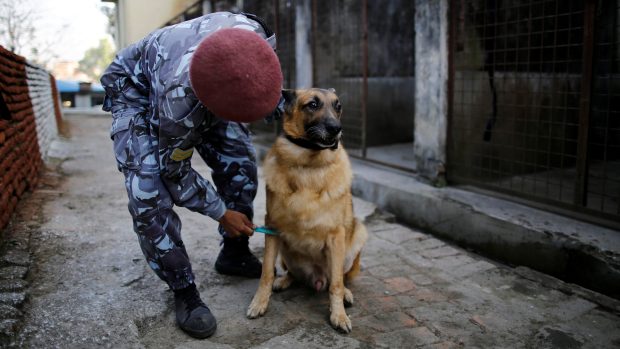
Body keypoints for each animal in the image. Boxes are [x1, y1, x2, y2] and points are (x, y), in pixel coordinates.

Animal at [246, 87, 366, 332]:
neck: (309, 167)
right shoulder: (272, 227)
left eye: (338, 106)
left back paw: (346, 293)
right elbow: (266, 273)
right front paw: (259, 303)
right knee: (293, 273)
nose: (337, 129)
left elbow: (336, 283)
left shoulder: (336, 235)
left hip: (357, 236)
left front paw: (338, 315)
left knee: (339, 278)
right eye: (312, 104)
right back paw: (284, 280)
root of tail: (316, 279)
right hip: (285, 250)